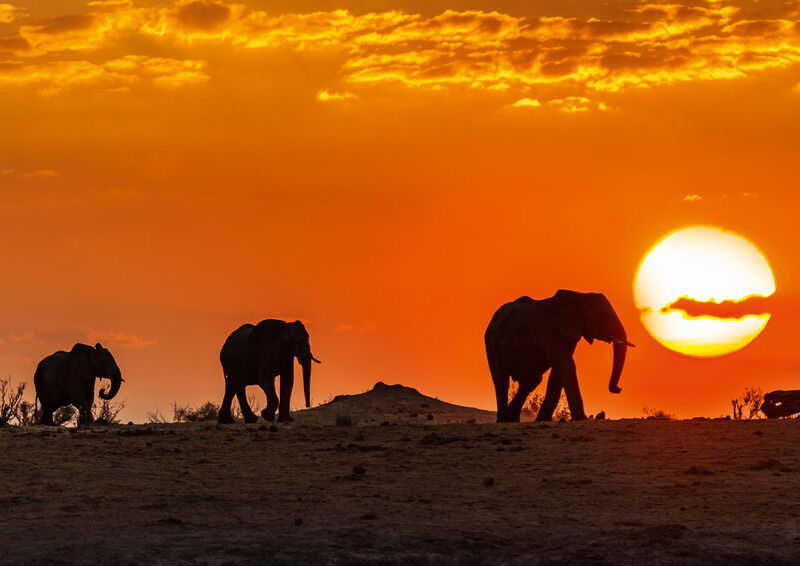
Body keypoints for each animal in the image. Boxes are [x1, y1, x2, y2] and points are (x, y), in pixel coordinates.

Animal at [484, 290, 636, 424]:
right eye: (603, 316)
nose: (618, 389)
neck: (580, 296)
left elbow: (559, 369)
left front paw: (543, 420)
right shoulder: (548, 330)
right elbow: (566, 364)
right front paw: (581, 419)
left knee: (531, 382)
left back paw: (512, 419)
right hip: (491, 343)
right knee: (501, 380)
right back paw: (503, 420)